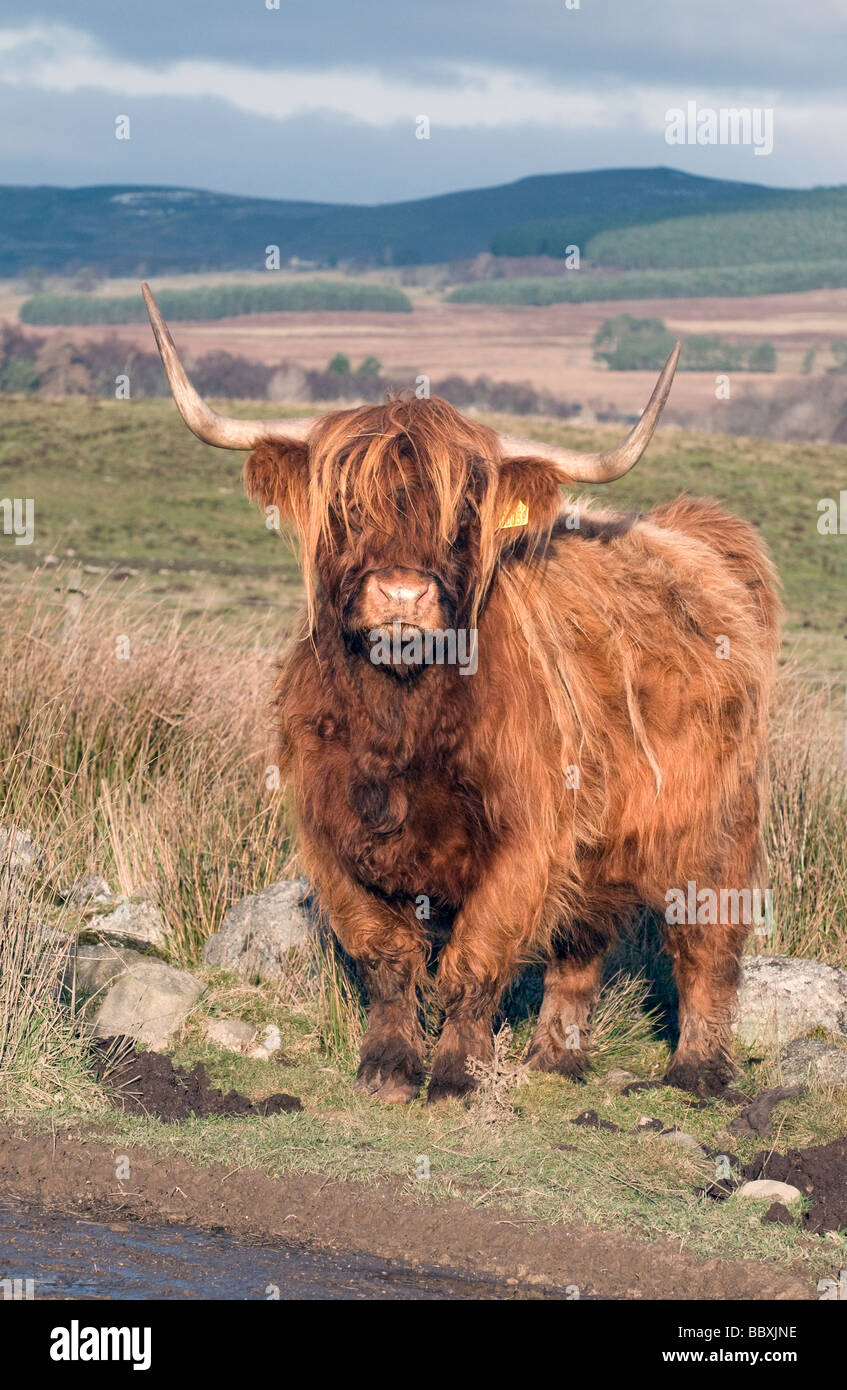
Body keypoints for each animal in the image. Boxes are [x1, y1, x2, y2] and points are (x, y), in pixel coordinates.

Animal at [143, 282, 778, 1100]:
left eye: (463, 515)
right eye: (345, 507)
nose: (400, 594)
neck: (400, 718)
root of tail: (697, 534)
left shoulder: (525, 838)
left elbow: (474, 959)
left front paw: (454, 1075)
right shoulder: (332, 835)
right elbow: (386, 958)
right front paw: (387, 1068)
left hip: (713, 823)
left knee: (707, 943)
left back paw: (696, 1071)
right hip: (598, 837)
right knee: (581, 944)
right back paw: (555, 1059)